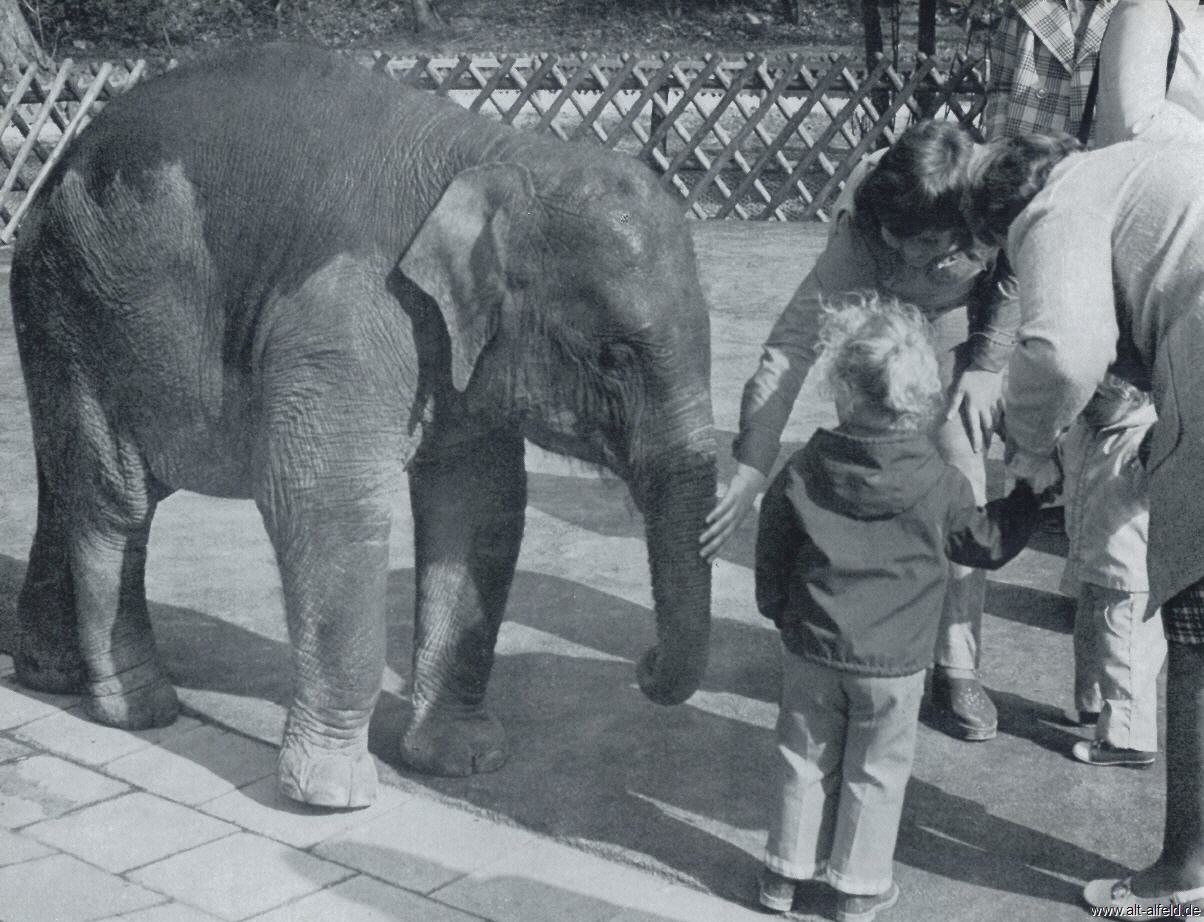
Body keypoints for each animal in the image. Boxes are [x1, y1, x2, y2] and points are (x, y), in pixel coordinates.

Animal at [9, 43, 717, 808]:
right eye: (615, 356)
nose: (644, 666)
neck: (498, 153)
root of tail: (54, 177)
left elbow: (479, 505)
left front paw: (462, 761)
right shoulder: (347, 311)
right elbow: (322, 499)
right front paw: (331, 795)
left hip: (59, 318)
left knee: (65, 482)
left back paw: (51, 677)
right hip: (81, 308)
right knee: (118, 499)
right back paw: (139, 710)